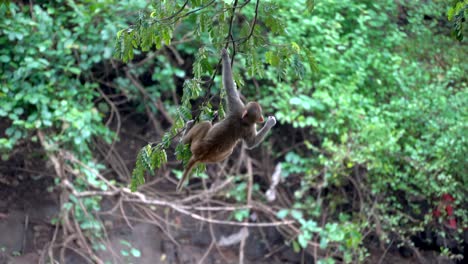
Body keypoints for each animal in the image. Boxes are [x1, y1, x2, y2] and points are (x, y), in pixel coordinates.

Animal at [177, 48, 276, 192]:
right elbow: (229, 86)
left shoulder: (238, 110)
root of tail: (200, 155)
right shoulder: (239, 109)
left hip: (200, 149)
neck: (244, 120)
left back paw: (185, 137)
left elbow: (229, 86)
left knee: (208, 128)